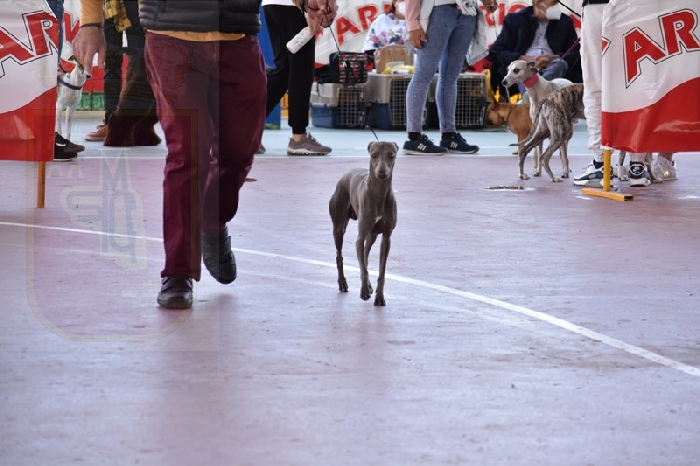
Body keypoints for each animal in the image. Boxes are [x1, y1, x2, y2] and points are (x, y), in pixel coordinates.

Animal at [329, 141, 398, 306]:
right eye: (374, 155)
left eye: (391, 155)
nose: (381, 173)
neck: (379, 194)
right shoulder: (360, 236)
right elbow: (363, 269)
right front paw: (364, 291)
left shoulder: (386, 238)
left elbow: (381, 271)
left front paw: (379, 296)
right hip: (339, 229)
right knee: (340, 256)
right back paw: (342, 283)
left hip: (372, 235)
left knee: (365, 254)